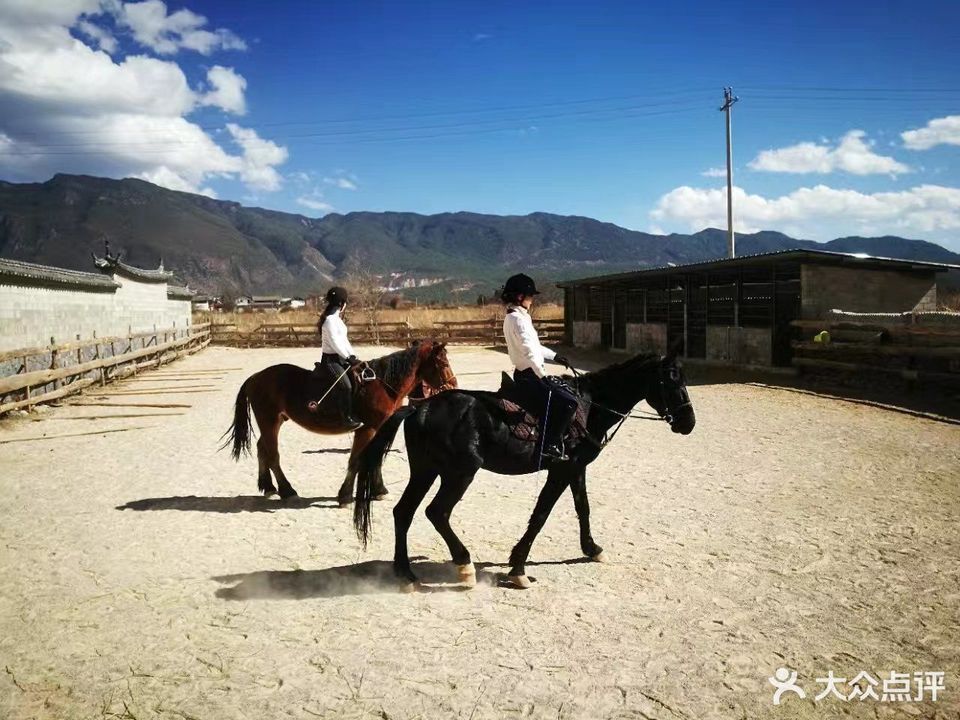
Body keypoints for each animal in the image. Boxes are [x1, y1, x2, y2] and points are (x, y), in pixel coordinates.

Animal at [223, 340, 456, 504]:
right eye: (443, 362)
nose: (452, 384)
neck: (381, 385)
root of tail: (255, 377)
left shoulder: (379, 429)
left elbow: (376, 460)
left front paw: (379, 491)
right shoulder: (367, 429)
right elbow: (357, 460)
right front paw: (345, 496)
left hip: (275, 421)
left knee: (262, 448)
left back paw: (269, 488)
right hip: (269, 421)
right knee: (272, 455)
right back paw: (288, 491)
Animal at [356, 348, 692, 592]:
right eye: (672, 381)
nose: (689, 423)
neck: (591, 407)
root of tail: (419, 407)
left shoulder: (576, 468)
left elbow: (582, 508)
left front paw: (592, 549)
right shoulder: (561, 471)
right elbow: (541, 515)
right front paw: (518, 569)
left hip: (426, 471)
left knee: (404, 512)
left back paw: (406, 574)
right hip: (459, 474)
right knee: (436, 512)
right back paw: (464, 566)